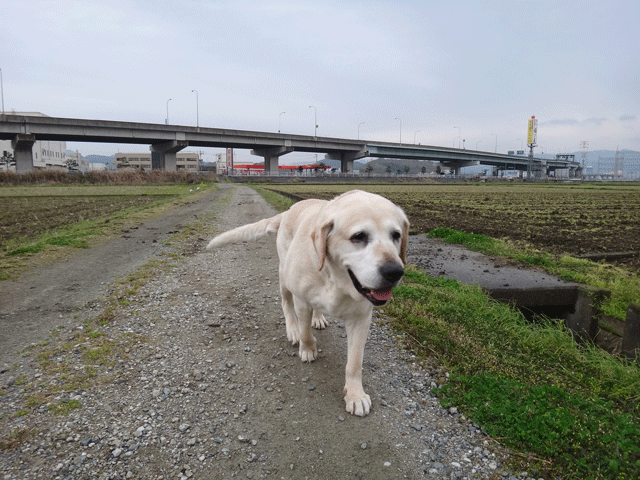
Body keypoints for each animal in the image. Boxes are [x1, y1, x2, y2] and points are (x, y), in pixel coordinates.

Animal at [209, 189, 410, 414]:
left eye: (396, 235)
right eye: (359, 236)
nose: (395, 271)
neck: (335, 278)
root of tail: (289, 210)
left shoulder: (361, 318)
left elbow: (355, 362)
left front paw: (355, 395)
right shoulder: (301, 300)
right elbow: (305, 332)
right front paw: (307, 349)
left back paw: (319, 317)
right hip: (284, 277)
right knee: (286, 305)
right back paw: (292, 329)